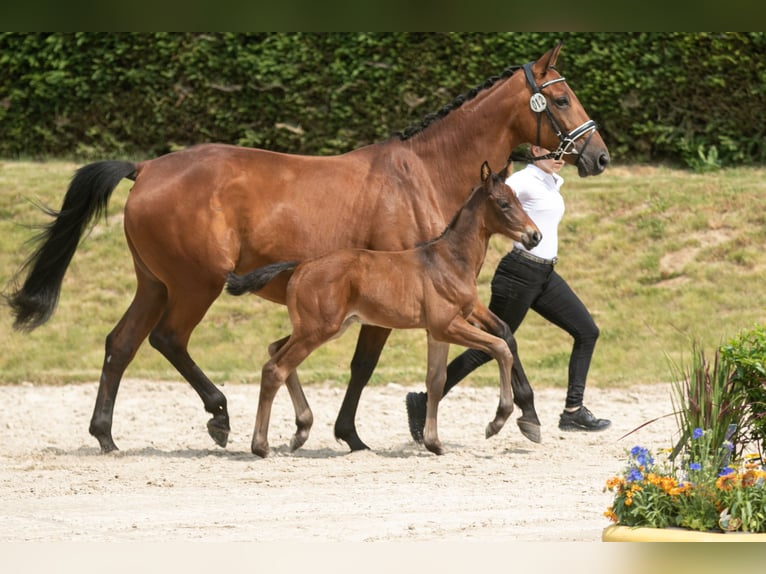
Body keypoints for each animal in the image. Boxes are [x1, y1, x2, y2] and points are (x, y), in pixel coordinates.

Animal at [225, 163, 544, 460]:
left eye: (519, 199)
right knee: (275, 369)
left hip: (321, 327)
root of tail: (302, 266)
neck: (450, 260)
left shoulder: (438, 332)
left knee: (275, 350)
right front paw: (497, 421)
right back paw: (261, 446)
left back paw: (301, 430)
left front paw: (434, 443)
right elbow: (500, 347)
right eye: (503, 203)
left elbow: (436, 380)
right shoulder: (446, 325)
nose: (535, 236)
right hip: (318, 329)